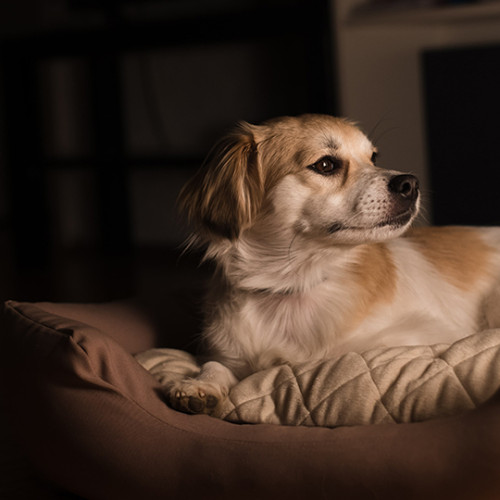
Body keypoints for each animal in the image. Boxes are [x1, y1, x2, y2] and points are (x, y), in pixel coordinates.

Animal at [166, 115, 500, 416]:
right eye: (326, 165)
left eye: (373, 158)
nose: (411, 183)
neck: (293, 284)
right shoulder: (228, 353)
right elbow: (214, 364)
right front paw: (201, 385)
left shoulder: (417, 336)